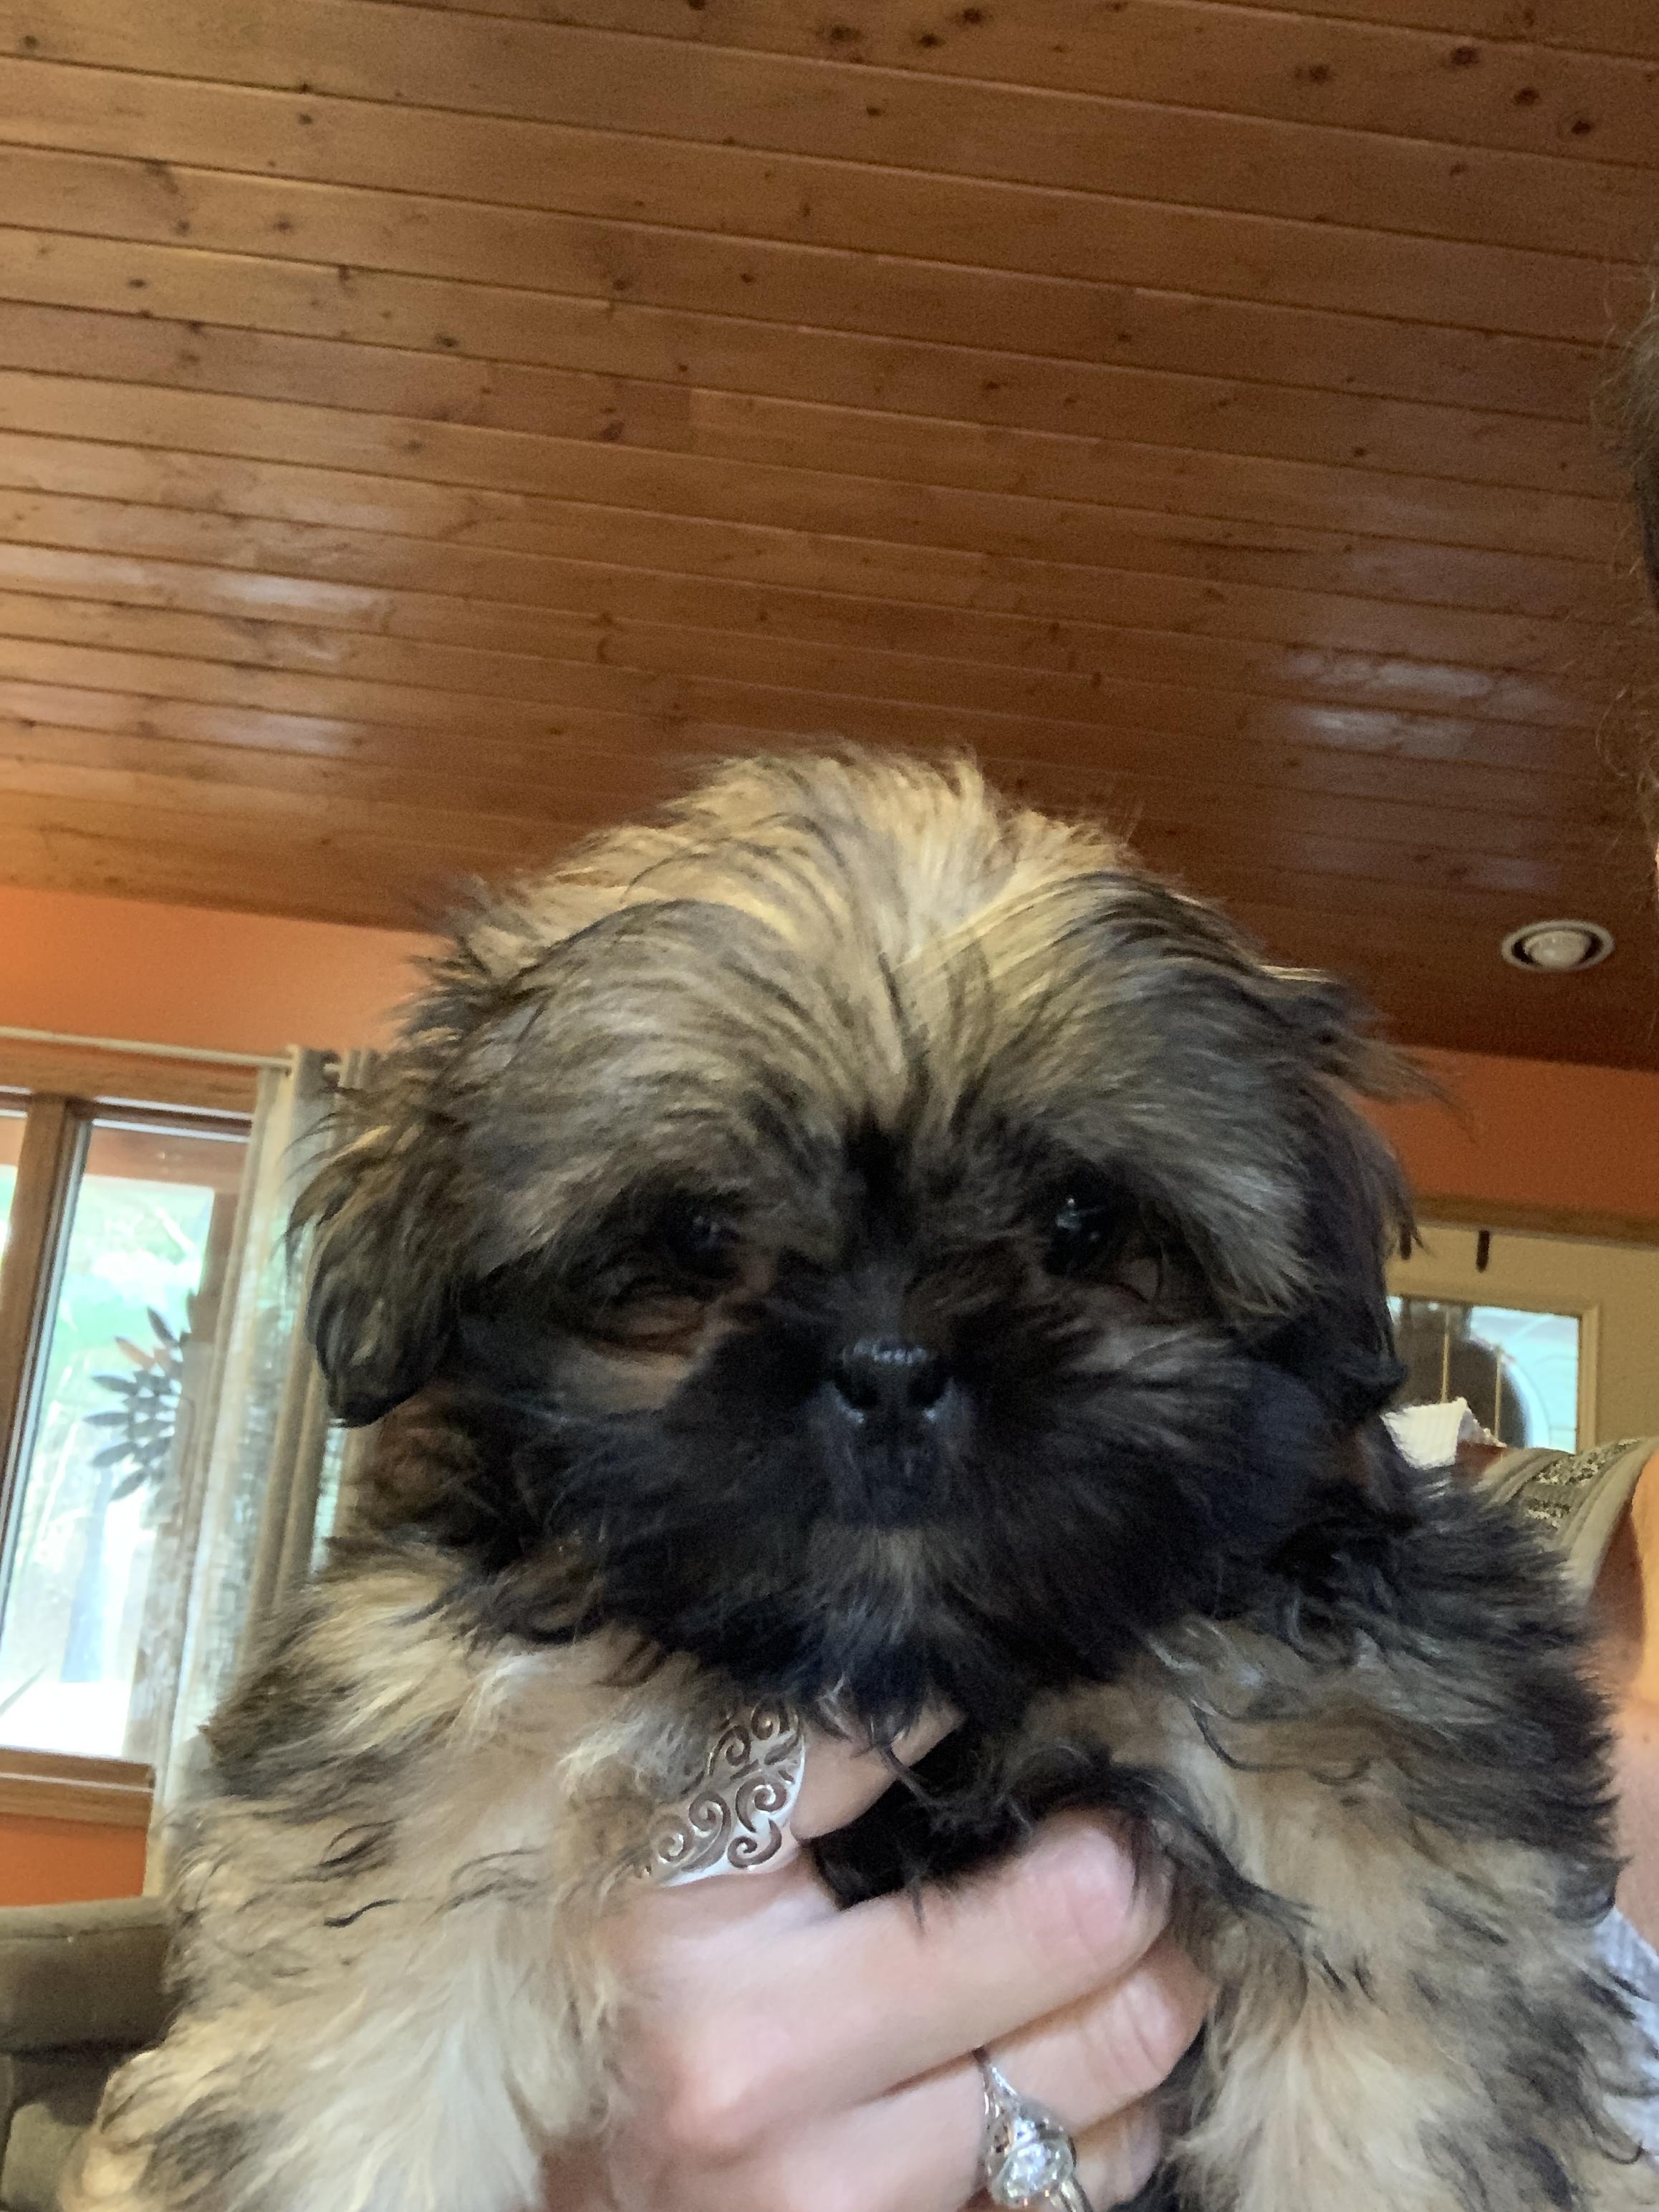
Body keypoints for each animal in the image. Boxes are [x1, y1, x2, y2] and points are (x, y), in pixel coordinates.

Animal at [69, 751, 1648, 2211]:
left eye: (1085, 1220)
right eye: (693, 1236)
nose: (892, 1363)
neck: (909, 1672)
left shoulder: (1378, 1811)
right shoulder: (434, 1761)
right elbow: (355, 2074)